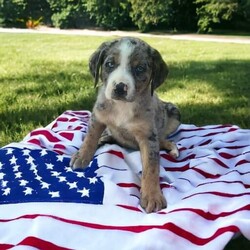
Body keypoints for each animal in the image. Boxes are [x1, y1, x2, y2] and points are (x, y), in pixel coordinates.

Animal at [69, 37, 181, 213]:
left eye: (140, 68)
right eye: (109, 64)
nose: (120, 87)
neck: (122, 106)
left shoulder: (148, 136)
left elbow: (151, 167)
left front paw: (152, 196)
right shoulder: (98, 116)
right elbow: (90, 138)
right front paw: (82, 156)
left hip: (174, 113)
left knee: (163, 140)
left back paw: (172, 147)